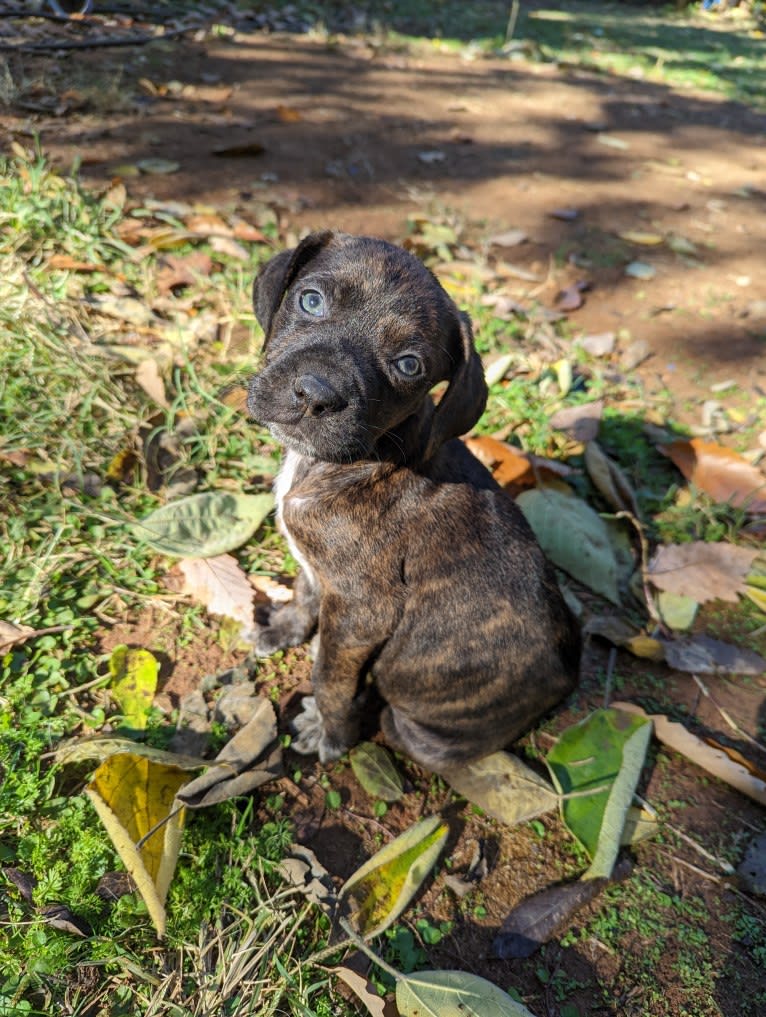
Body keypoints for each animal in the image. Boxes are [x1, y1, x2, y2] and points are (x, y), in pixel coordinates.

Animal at [248, 230, 577, 768]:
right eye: (310, 301)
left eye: (408, 365)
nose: (316, 394)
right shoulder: (323, 573)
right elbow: (303, 591)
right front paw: (282, 629)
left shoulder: (361, 612)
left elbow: (330, 678)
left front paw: (330, 732)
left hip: (426, 726)